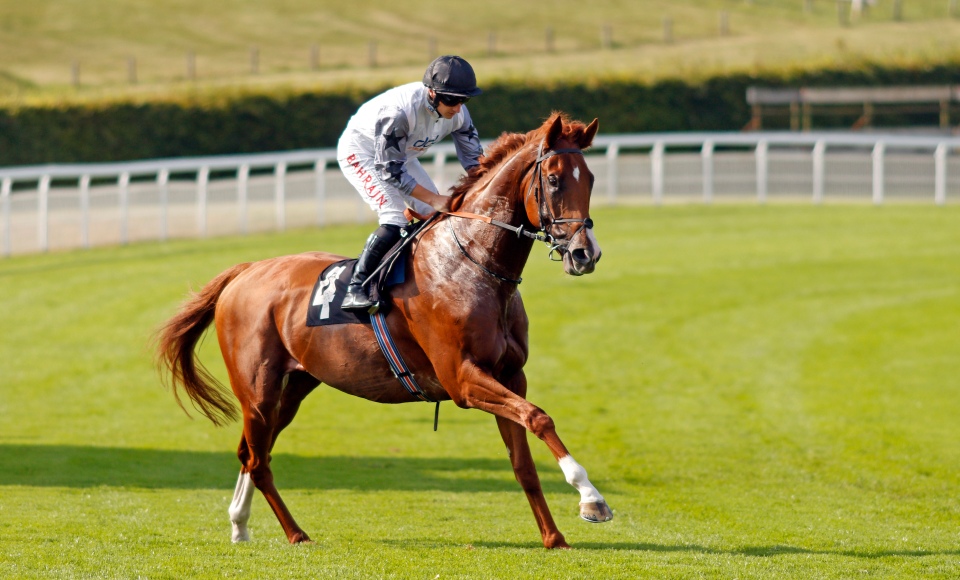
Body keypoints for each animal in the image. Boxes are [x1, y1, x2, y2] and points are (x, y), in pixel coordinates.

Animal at [154, 112, 612, 548]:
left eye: (590, 178)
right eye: (553, 179)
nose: (584, 254)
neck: (471, 264)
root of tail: (245, 271)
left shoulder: (510, 375)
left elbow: (524, 463)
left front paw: (554, 537)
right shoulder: (463, 380)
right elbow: (539, 418)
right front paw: (591, 499)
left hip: (296, 385)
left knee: (251, 451)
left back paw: (240, 524)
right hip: (257, 391)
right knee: (258, 460)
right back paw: (294, 533)